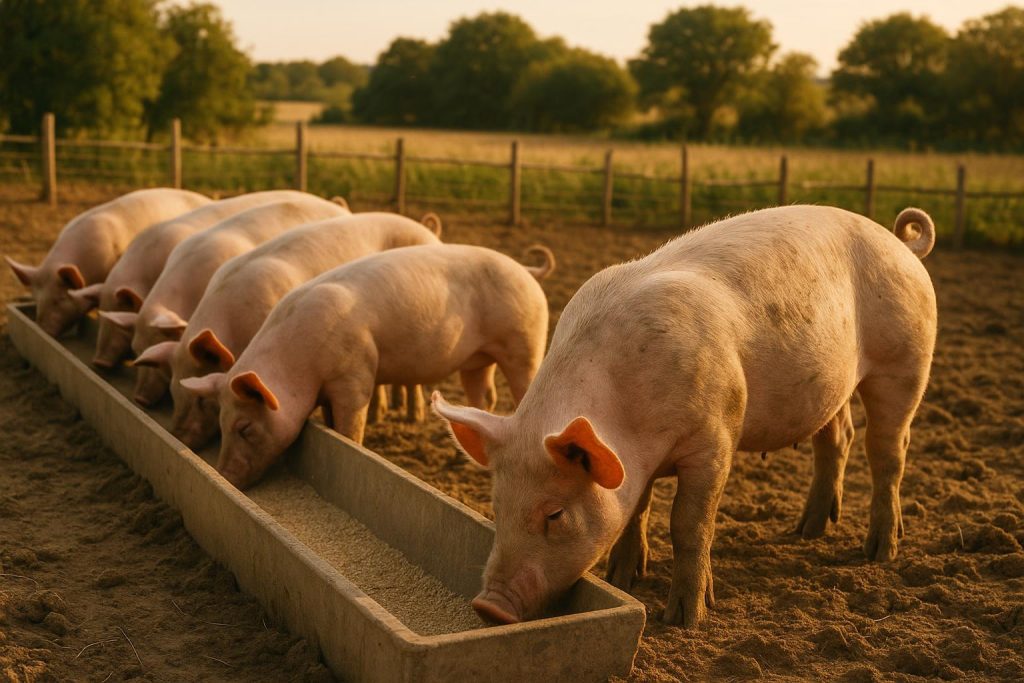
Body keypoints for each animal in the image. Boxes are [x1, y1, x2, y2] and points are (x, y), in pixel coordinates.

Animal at [181, 243, 556, 489]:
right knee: (484, 398)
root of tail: (526, 270)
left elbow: (350, 426)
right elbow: (331, 421)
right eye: (221, 421)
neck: (299, 364)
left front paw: (354, 445)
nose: (224, 474)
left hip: (526, 341)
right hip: (477, 359)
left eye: (244, 427)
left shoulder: (354, 373)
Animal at [432, 205, 937, 628]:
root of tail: (900, 243)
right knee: (836, 438)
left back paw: (879, 551)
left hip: (905, 361)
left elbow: (688, 524)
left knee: (888, 451)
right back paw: (806, 530)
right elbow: (636, 509)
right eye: (496, 505)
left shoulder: (714, 438)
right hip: (831, 385)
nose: (489, 605)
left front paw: (685, 618)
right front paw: (622, 578)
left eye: (555, 514)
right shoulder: (633, 461)